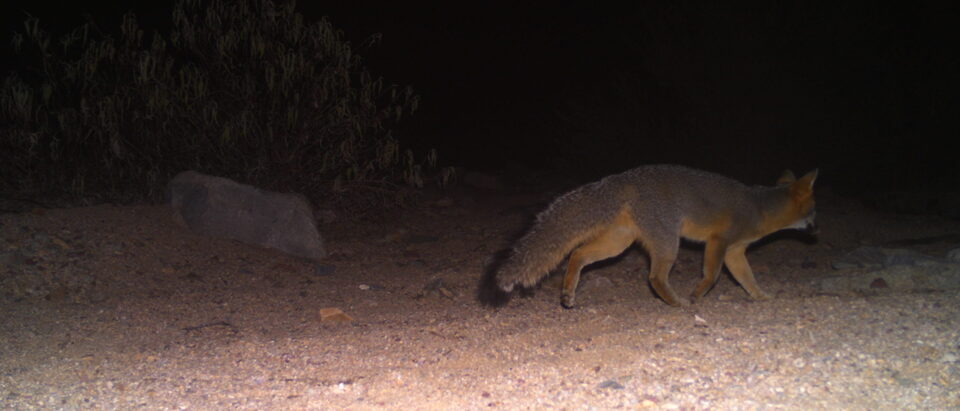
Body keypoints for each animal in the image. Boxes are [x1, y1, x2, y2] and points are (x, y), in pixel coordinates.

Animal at [496, 164, 818, 308]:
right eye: (814, 212)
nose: (817, 229)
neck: (759, 207)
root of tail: (623, 177)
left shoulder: (735, 251)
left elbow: (747, 278)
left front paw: (761, 296)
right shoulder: (719, 242)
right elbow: (712, 275)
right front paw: (697, 295)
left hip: (618, 244)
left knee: (577, 253)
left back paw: (568, 292)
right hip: (668, 243)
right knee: (654, 277)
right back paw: (677, 302)